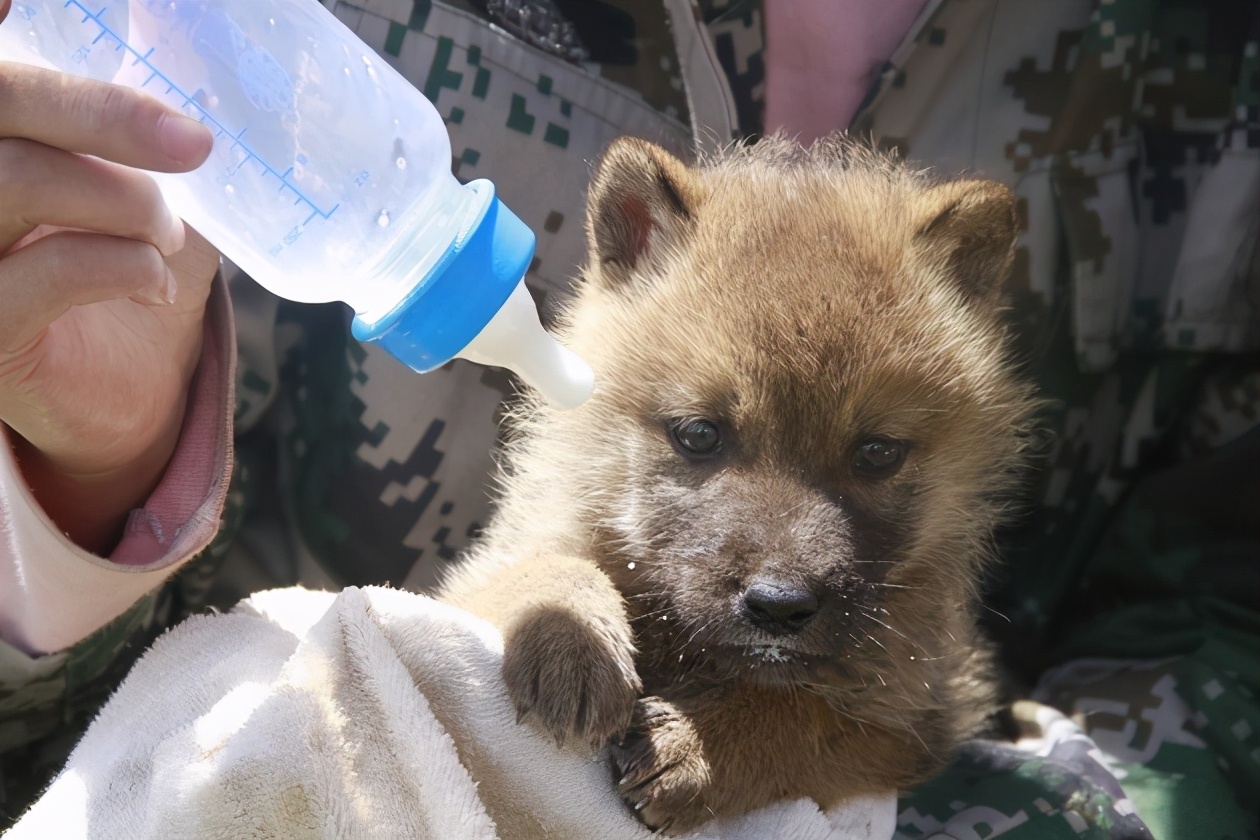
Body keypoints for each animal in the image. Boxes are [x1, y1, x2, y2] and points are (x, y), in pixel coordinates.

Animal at [438, 137, 1038, 836]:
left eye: (877, 452)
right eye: (700, 434)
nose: (779, 606)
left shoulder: (913, 719)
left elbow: (804, 717)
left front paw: (700, 746)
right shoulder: (478, 578)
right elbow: (543, 569)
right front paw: (569, 639)